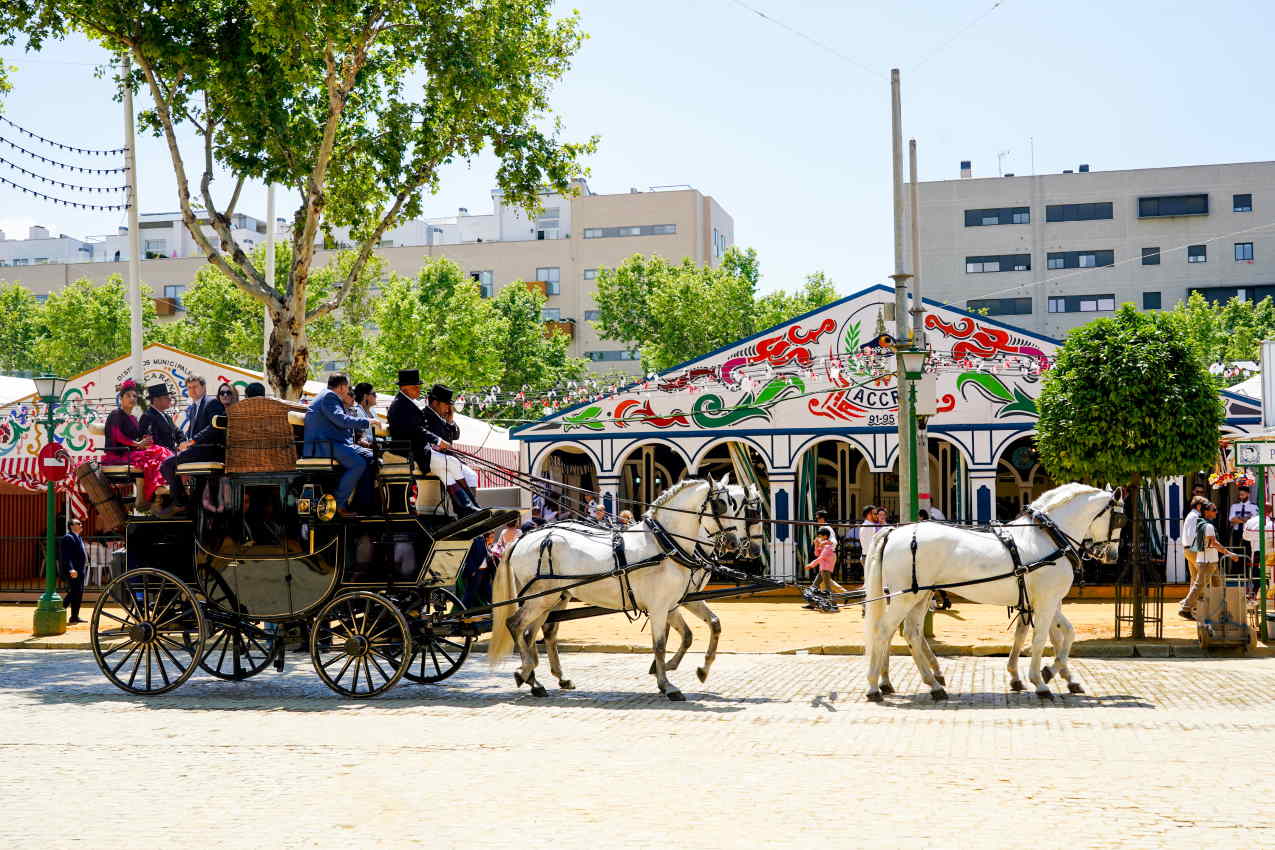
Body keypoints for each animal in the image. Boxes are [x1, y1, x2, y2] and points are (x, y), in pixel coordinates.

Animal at [489, 476, 754, 703]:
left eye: (736, 506)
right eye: (721, 504)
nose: (735, 544)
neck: (664, 544)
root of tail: (523, 539)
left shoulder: (675, 602)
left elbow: (706, 627)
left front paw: (700, 670)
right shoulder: (659, 607)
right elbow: (660, 644)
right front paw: (667, 685)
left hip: (551, 599)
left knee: (534, 632)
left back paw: (537, 681)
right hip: (540, 598)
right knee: (516, 625)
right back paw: (525, 672)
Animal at [861, 484, 1122, 703]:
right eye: (1120, 518)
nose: (1112, 556)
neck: (1048, 538)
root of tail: (894, 532)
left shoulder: (1044, 601)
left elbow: (1060, 635)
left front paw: (1055, 674)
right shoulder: (1047, 601)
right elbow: (1042, 640)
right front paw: (1041, 680)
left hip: (919, 596)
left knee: (912, 634)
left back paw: (931, 684)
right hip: (904, 597)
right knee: (884, 630)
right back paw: (875, 686)